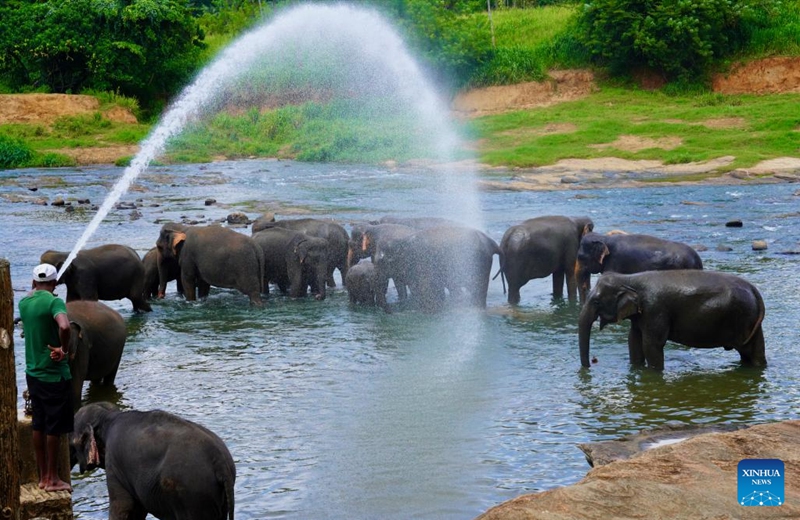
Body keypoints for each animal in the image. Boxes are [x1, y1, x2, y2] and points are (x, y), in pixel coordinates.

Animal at [71, 402, 236, 520]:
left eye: (72, 443)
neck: (108, 416)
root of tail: (221, 463)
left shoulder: (114, 464)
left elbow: (123, 507)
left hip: (193, 496)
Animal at [580, 268, 764, 370]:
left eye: (596, 301)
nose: (591, 364)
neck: (628, 278)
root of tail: (753, 289)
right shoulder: (641, 314)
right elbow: (633, 341)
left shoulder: (654, 309)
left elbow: (651, 345)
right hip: (750, 319)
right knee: (753, 351)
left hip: (744, 316)